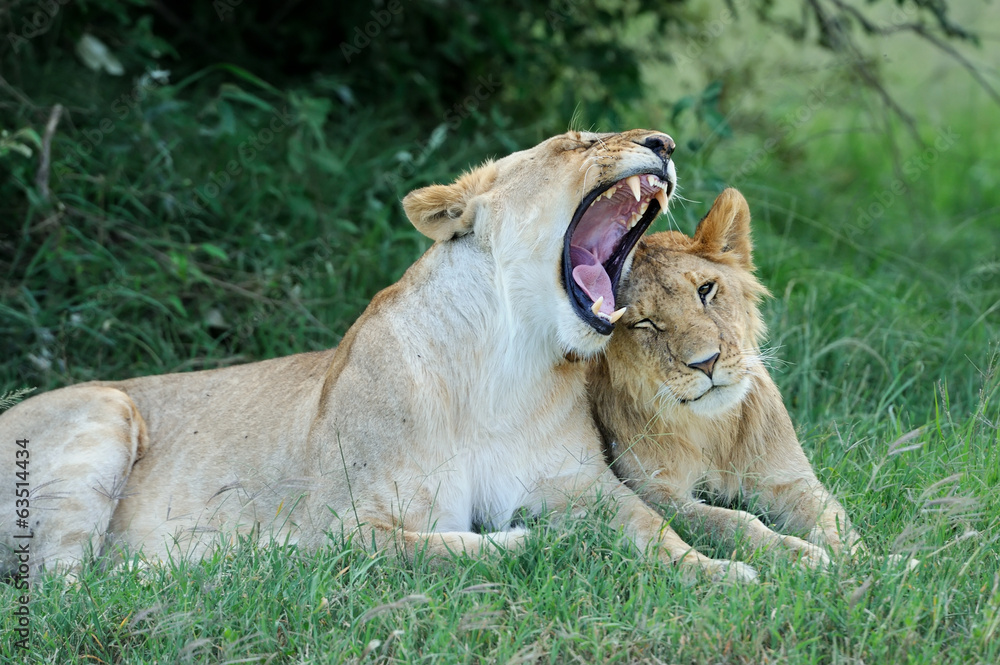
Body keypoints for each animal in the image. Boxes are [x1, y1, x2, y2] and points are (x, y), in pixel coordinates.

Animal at [0, 130, 754, 582]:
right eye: (579, 141)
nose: (664, 141)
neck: (505, 366)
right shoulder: (333, 525)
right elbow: (425, 546)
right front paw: (527, 542)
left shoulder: (586, 488)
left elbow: (660, 526)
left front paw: (729, 571)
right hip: (105, 408)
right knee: (66, 587)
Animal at [588, 188, 867, 580]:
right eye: (645, 323)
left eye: (706, 289)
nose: (706, 362)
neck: (713, 429)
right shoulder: (655, 492)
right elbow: (732, 520)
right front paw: (799, 556)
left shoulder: (791, 479)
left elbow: (834, 521)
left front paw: (872, 565)